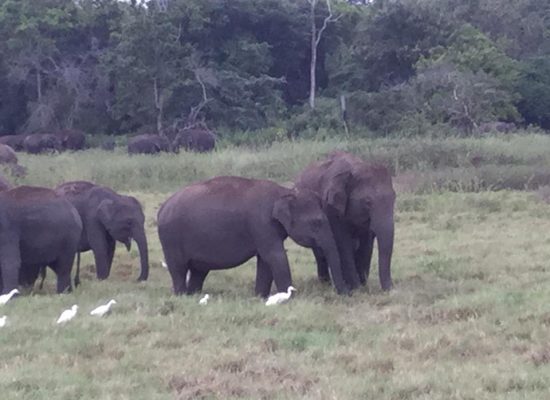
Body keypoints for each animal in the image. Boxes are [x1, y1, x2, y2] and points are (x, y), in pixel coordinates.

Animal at [158, 176, 350, 296]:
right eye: (316, 223)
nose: (344, 293)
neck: (284, 192)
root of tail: (162, 208)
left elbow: (265, 261)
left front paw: (260, 297)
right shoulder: (261, 223)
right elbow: (275, 256)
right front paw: (289, 297)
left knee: (199, 271)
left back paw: (193, 295)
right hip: (170, 238)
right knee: (179, 268)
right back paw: (182, 296)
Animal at [298, 152, 396, 292]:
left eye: (394, 198)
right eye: (368, 202)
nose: (391, 289)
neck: (355, 168)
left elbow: (365, 244)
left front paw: (362, 285)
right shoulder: (331, 207)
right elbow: (343, 242)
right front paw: (356, 288)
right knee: (319, 251)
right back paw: (326, 284)